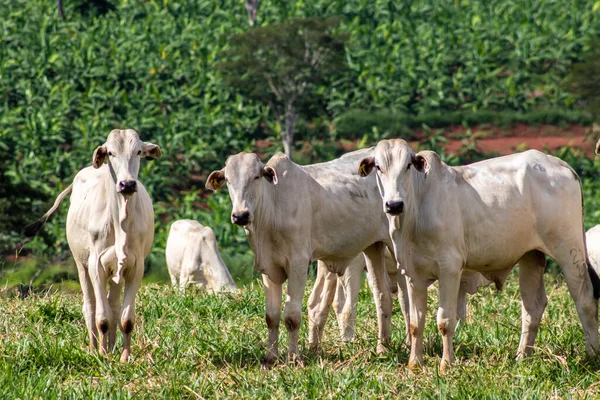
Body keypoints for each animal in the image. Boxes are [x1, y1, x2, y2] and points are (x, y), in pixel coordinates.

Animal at [22, 129, 161, 362]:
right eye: (111, 153)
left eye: (138, 152)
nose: (127, 184)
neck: (120, 221)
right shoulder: (96, 265)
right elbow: (102, 317)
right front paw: (102, 355)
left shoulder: (136, 267)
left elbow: (126, 318)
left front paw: (124, 357)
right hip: (82, 265)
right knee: (90, 307)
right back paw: (94, 348)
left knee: (113, 305)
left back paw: (112, 347)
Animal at [206, 149, 394, 366]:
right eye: (228, 180)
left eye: (256, 177)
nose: (240, 215)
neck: (274, 206)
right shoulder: (269, 270)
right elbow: (271, 316)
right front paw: (270, 357)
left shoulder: (298, 264)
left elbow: (292, 316)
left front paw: (294, 357)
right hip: (373, 247)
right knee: (383, 296)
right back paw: (383, 347)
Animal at [358, 139, 596, 374]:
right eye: (378, 167)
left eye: (408, 165)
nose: (394, 205)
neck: (416, 211)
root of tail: (563, 166)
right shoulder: (412, 273)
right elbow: (416, 323)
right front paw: (415, 364)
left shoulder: (450, 268)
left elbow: (445, 321)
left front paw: (446, 364)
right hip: (531, 255)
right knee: (532, 307)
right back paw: (521, 357)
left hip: (570, 251)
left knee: (585, 300)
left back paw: (592, 355)